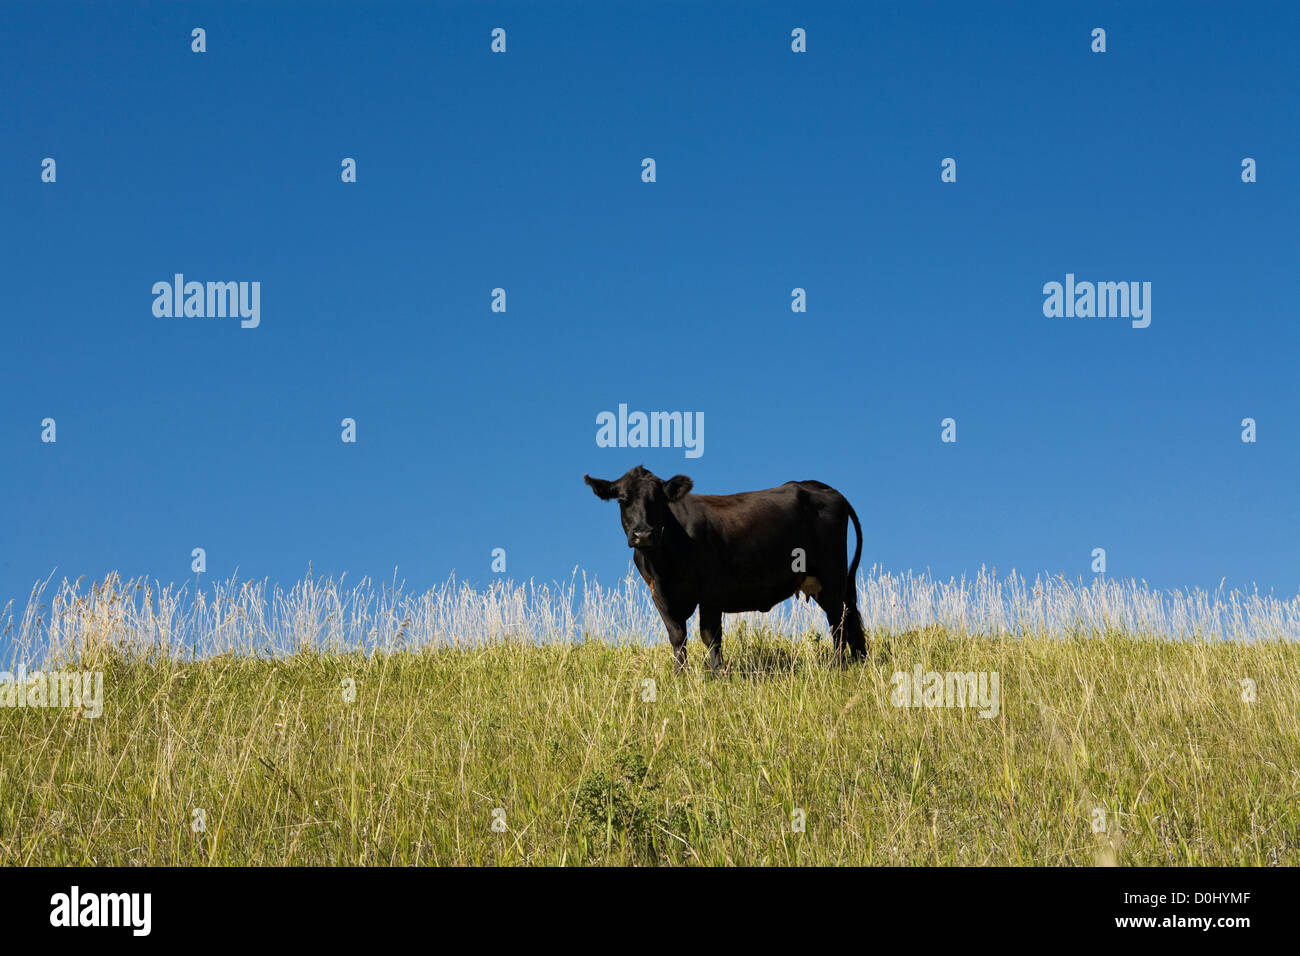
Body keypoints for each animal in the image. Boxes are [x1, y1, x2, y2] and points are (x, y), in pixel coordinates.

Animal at [584, 466, 867, 672]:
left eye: (659, 499)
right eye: (623, 500)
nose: (643, 534)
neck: (665, 563)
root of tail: (821, 487)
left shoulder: (711, 592)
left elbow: (710, 636)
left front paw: (717, 673)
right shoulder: (658, 595)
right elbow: (677, 636)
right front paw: (679, 674)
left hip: (832, 576)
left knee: (839, 621)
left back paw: (837, 666)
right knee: (850, 616)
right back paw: (859, 660)